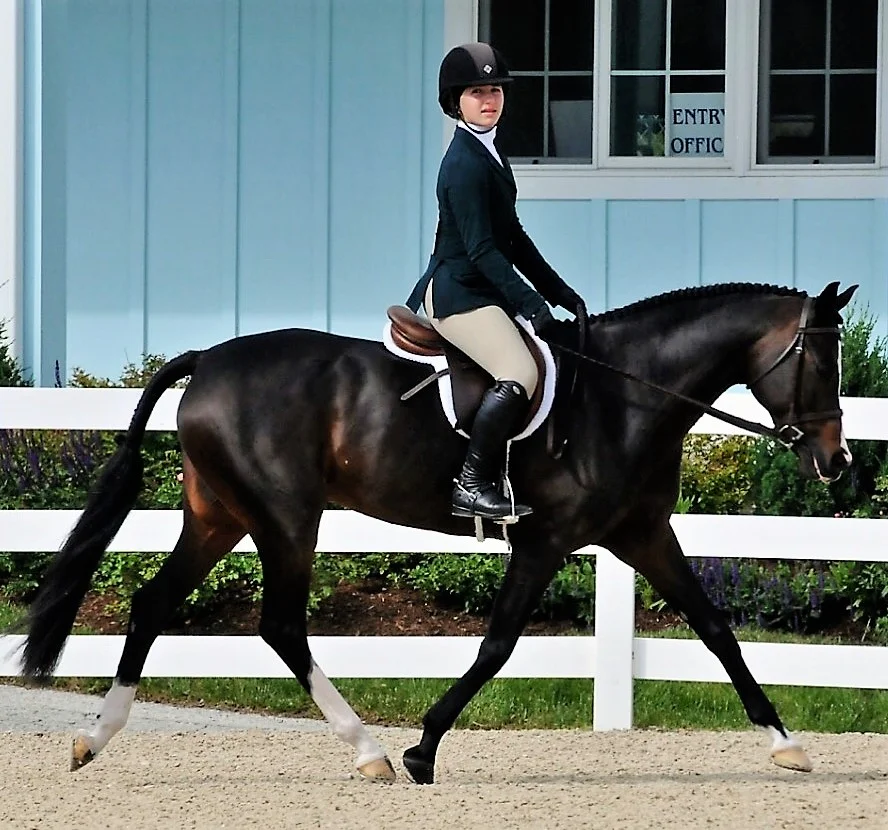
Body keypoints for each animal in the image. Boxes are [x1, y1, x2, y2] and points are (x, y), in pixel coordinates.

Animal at [18, 280, 856, 784]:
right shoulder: (545, 541)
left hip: (219, 516)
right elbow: (498, 645)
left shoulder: (643, 534)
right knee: (281, 625)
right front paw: (422, 748)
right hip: (285, 518)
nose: (837, 461)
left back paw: (94, 738)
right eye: (821, 361)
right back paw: (370, 752)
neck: (625, 395)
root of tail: (207, 361)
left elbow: (716, 628)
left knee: (153, 605)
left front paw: (785, 743)